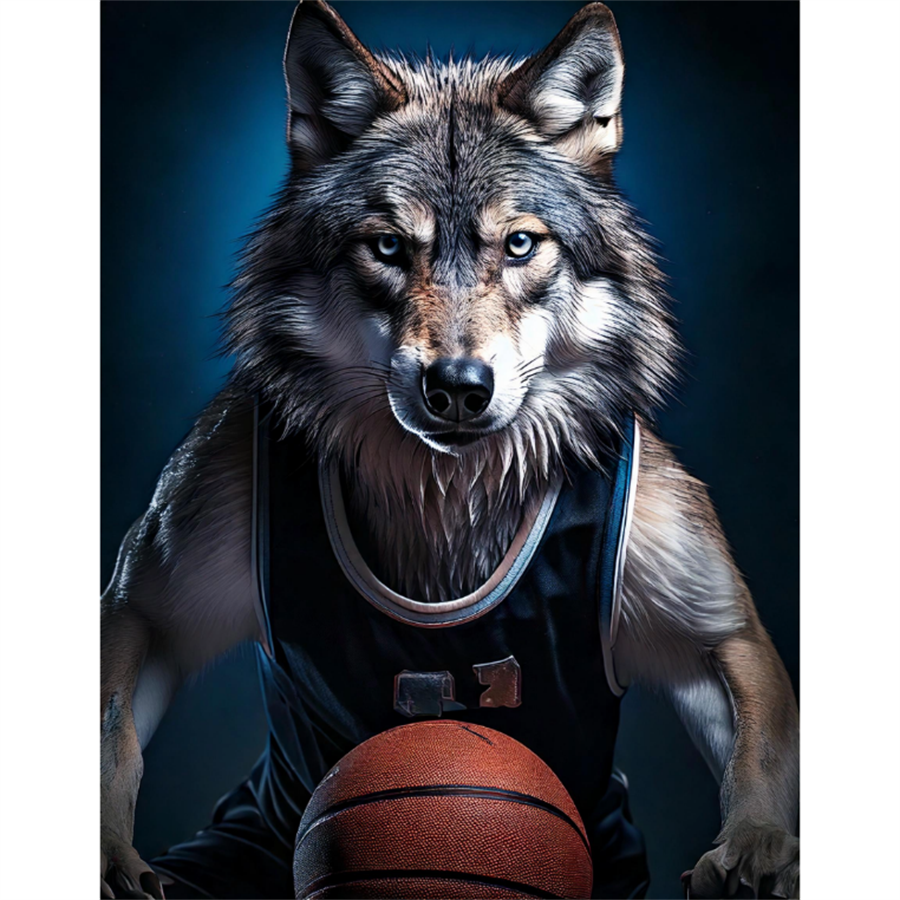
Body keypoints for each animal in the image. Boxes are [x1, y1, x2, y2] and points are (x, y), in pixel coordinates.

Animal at [100, 2, 799, 899]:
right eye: (389, 248)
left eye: (520, 245)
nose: (459, 387)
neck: (445, 490)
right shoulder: (155, 592)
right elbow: (113, 729)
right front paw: (109, 857)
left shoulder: (719, 633)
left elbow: (759, 741)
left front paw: (754, 848)